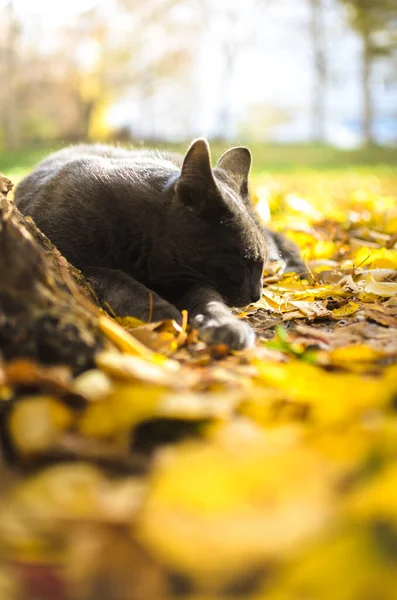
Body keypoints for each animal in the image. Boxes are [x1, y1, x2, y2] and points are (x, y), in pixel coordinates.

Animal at [13, 138, 302, 350]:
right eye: (245, 261)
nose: (257, 295)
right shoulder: (67, 256)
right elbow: (115, 279)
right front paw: (164, 312)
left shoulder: (189, 277)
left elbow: (208, 298)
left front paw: (224, 325)